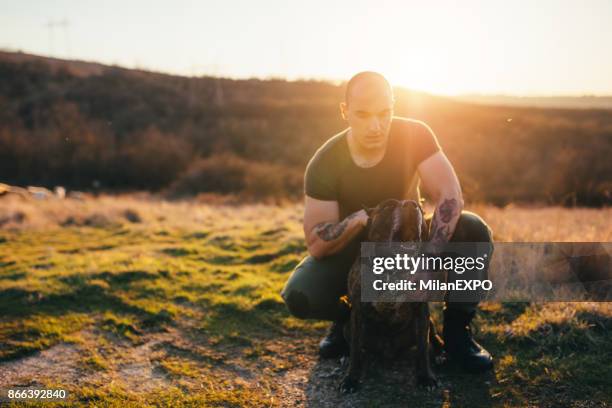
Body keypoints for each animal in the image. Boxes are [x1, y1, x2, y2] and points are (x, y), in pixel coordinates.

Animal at [340, 199, 444, 394]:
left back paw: (440, 353)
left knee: (432, 338)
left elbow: (423, 347)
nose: (412, 204)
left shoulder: (422, 311)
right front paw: (351, 379)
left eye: (419, 208)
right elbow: (355, 349)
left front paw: (426, 377)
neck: (393, 268)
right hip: (347, 325)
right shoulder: (357, 312)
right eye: (388, 206)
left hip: (429, 322)